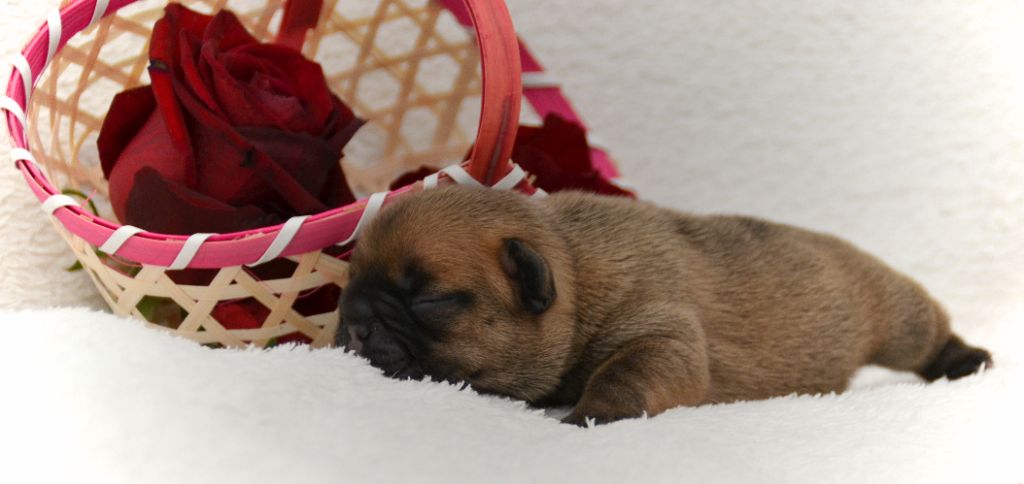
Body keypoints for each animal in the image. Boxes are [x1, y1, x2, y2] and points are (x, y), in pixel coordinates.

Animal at [337, 183, 991, 423]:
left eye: (429, 299)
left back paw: (965, 360)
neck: (577, 276)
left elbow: (626, 376)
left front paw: (590, 416)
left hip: (894, 312)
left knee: (926, 332)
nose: (356, 322)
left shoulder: (658, 334)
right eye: (350, 286)